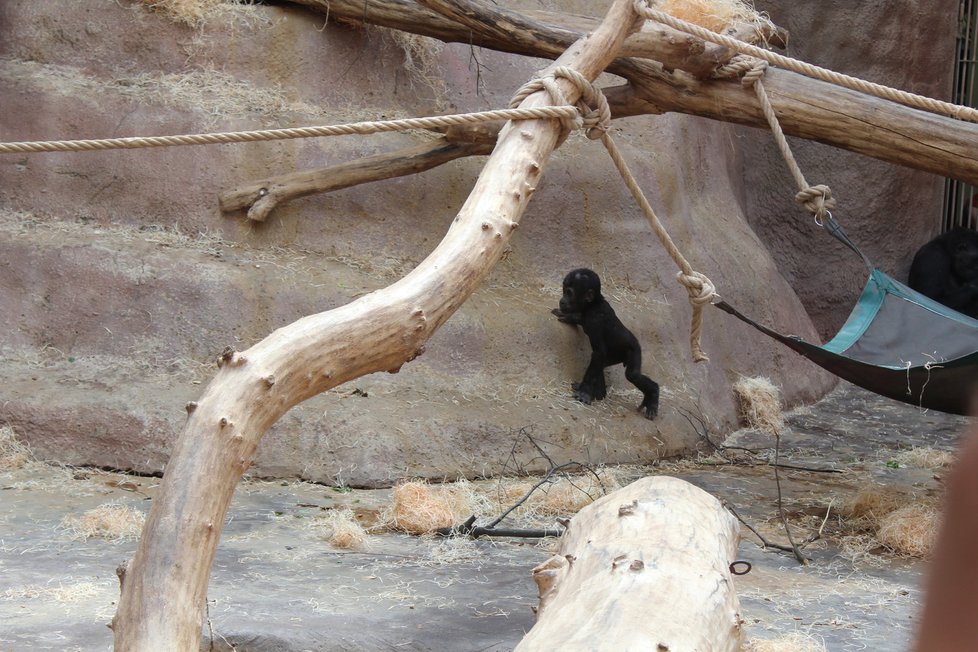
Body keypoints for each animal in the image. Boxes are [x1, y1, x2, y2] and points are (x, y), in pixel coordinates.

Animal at [544, 268, 660, 418]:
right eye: (564, 291)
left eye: (569, 293)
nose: (562, 301)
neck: (592, 304)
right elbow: (579, 320)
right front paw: (566, 315)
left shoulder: (596, 320)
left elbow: (599, 352)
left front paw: (584, 393)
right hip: (615, 357)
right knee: (601, 365)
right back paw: (600, 393)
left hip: (635, 350)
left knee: (632, 374)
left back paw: (653, 395)